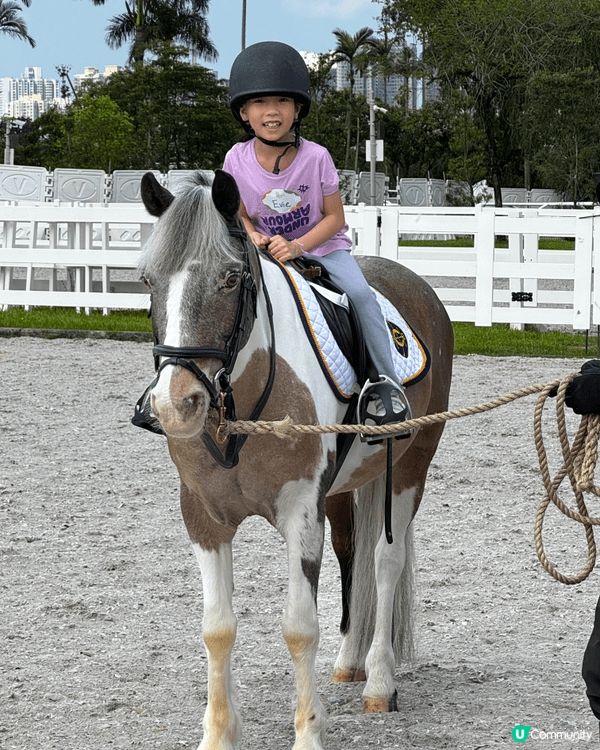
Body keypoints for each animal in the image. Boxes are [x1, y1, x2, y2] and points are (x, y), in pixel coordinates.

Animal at [136, 169, 454, 750]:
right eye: (148, 279)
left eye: (231, 278)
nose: (176, 404)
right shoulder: (203, 518)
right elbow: (217, 628)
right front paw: (219, 733)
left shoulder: (302, 513)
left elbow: (300, 627)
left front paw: (308, 730)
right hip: (347, 489)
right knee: (355, 555)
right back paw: (349, 662)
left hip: (410, 469)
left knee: (384, 562)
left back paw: (379, 681)